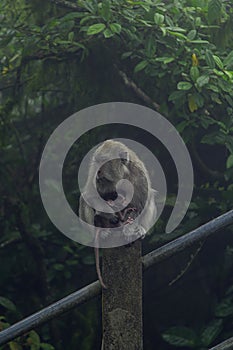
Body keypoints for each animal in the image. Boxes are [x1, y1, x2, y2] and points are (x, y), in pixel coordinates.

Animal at [79, 141, 157, 288]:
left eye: (104, 161)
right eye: (97, 161)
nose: (98, 171)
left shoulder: (139, 175)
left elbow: (140, 204)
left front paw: (130, 228)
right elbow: (90, 195)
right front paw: (110, 214)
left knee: (149, 198)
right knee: (85, 199)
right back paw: (102, 229)